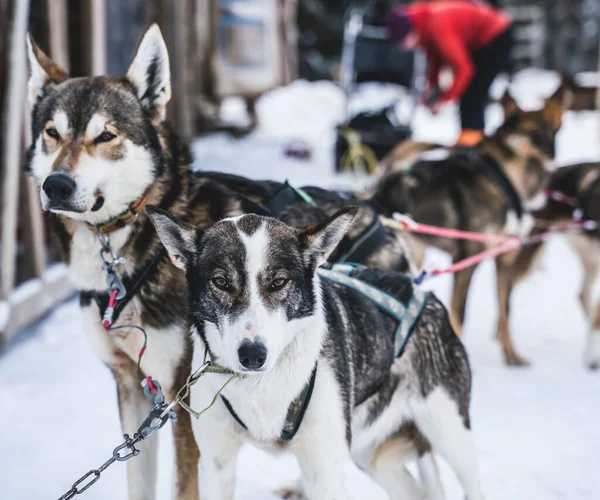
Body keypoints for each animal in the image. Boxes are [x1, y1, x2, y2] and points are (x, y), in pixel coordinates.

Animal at [28, 22, 412, 496]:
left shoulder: (179, 398)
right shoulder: (132, 388)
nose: (57, 185)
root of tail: (376, 211)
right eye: (52, 133)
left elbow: (184, 485)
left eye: (106, 135)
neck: (127, 257)